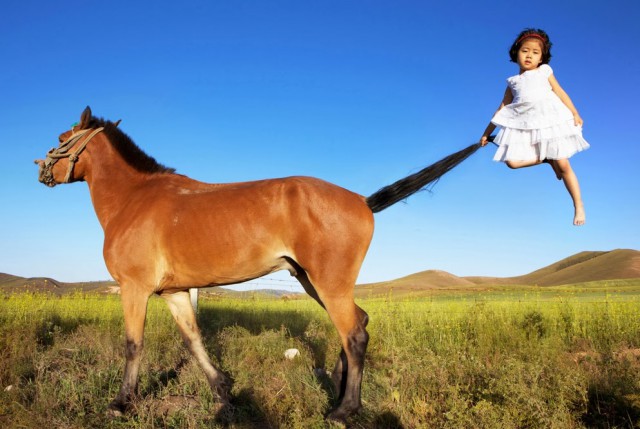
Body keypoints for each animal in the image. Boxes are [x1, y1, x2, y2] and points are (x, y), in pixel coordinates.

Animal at [32, 107, 478, 422]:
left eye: (60, 139)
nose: (40, 172)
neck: (134, 199)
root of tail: (362, 201)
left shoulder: (135, 288)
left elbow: (133, 344)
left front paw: (122, 402)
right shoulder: (175, 292)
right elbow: (194, 341)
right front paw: (223, 392)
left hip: (328, 283)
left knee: (354, 334)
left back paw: (343, 410)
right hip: (311, 281)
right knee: (360, 322)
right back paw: (337, 386)